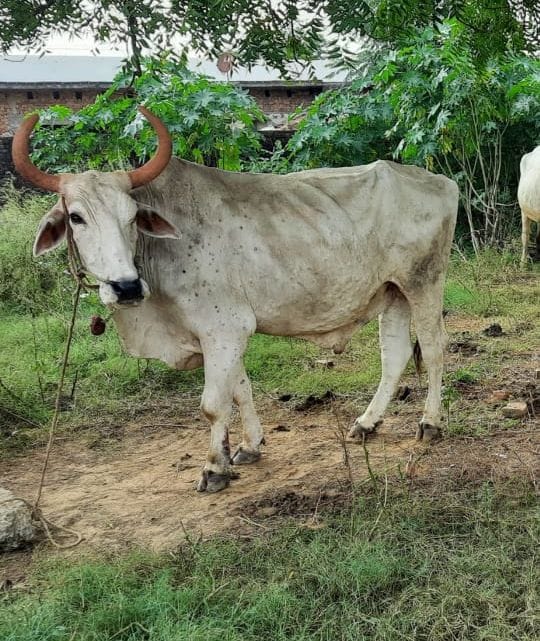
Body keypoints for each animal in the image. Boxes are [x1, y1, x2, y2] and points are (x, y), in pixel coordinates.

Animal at [13, 107, 459, 493]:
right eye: (76, 217)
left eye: (132, 216)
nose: (126, 287)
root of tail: (442, 182)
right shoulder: (222, 335)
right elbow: (239, 389)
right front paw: (247, 447)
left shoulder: (225, 328)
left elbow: (213, 403)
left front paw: (214, 468)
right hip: (393, 292)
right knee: (395, 355)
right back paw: (367, 423)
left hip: (424, 283)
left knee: (434, 349)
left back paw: (430, 423)